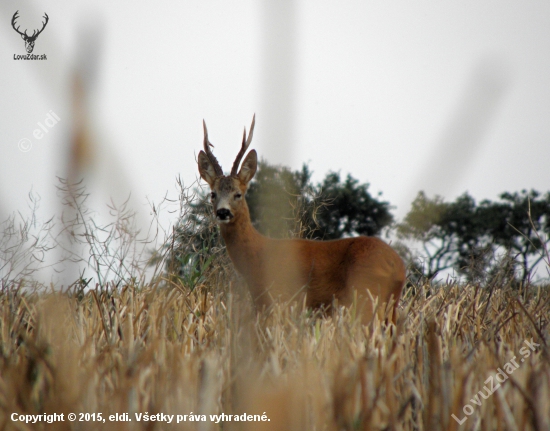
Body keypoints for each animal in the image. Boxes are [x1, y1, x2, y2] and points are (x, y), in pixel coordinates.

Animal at [198, 115, 406, 324]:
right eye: (213, 194)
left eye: (238, 194)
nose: (223, 212)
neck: (257, 255)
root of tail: (398, 266)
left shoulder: (277, 298)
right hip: (390, 306)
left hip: (365, 296)